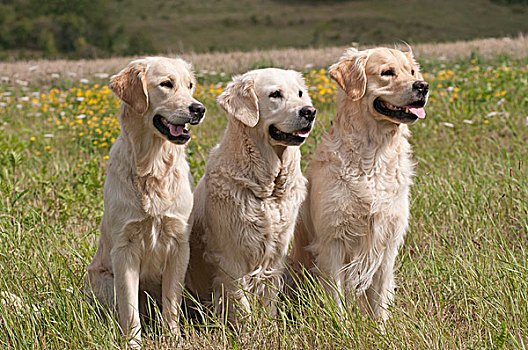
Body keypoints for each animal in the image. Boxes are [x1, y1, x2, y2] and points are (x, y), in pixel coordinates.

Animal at [84, 56, 204, 344]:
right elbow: (129, 309)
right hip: (103, 281)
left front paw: (173, 339)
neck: (153, 166)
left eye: (190, 85)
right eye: (166, 84)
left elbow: (171, 303)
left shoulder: (179, 245)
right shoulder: (124, 249)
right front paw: (132, 342)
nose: (199, 109)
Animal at [186, 67, 316, 322]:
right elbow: (242, 309)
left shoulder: (274, 258)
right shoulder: (231, 260)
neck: (268, 189)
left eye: (300, 93)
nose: (310, 111)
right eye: (275, 94)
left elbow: (268, 305)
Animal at [288, 48, 428, 320]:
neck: (374, 154)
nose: (423, 86)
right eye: (387, 72)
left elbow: (379, 301)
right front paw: (341, 327)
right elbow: (336, 298)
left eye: (412, 71)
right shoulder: (332, 241)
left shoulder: (387, 242)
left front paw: (381, 328)